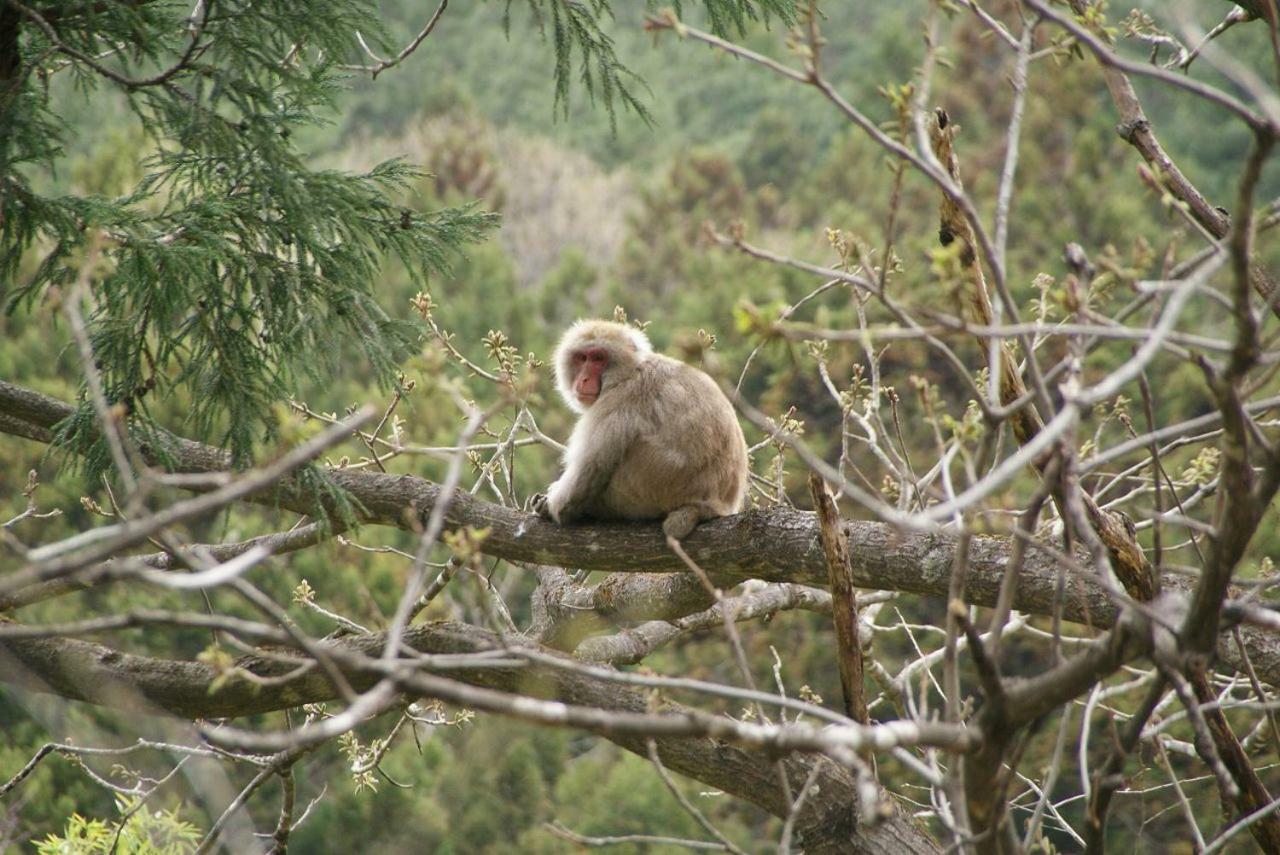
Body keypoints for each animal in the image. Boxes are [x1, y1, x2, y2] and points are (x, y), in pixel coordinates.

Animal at [532, 317, 747, 537]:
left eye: (599, 358)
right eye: (582, 358)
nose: (583, 379)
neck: (629, 370)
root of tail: (713, 507)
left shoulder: (618, 399)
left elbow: (587, 474)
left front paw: (552, 506)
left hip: (645, 491)